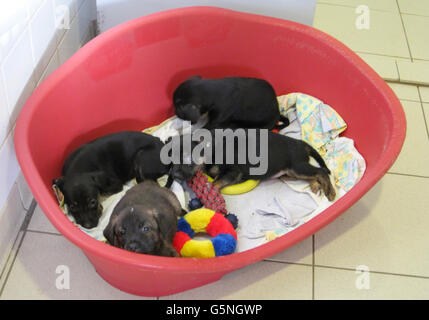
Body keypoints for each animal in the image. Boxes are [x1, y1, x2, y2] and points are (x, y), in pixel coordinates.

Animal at [169, 129, 336, 201]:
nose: (174, 176)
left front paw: (210, 191)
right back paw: (315, 185)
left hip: (297, 166)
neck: (212, 147)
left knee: (321, 171)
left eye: (187, 157)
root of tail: (300, 143)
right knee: (313, 174)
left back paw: (330, 191)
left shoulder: (233, 172)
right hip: (290, 172)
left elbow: (216, 182)